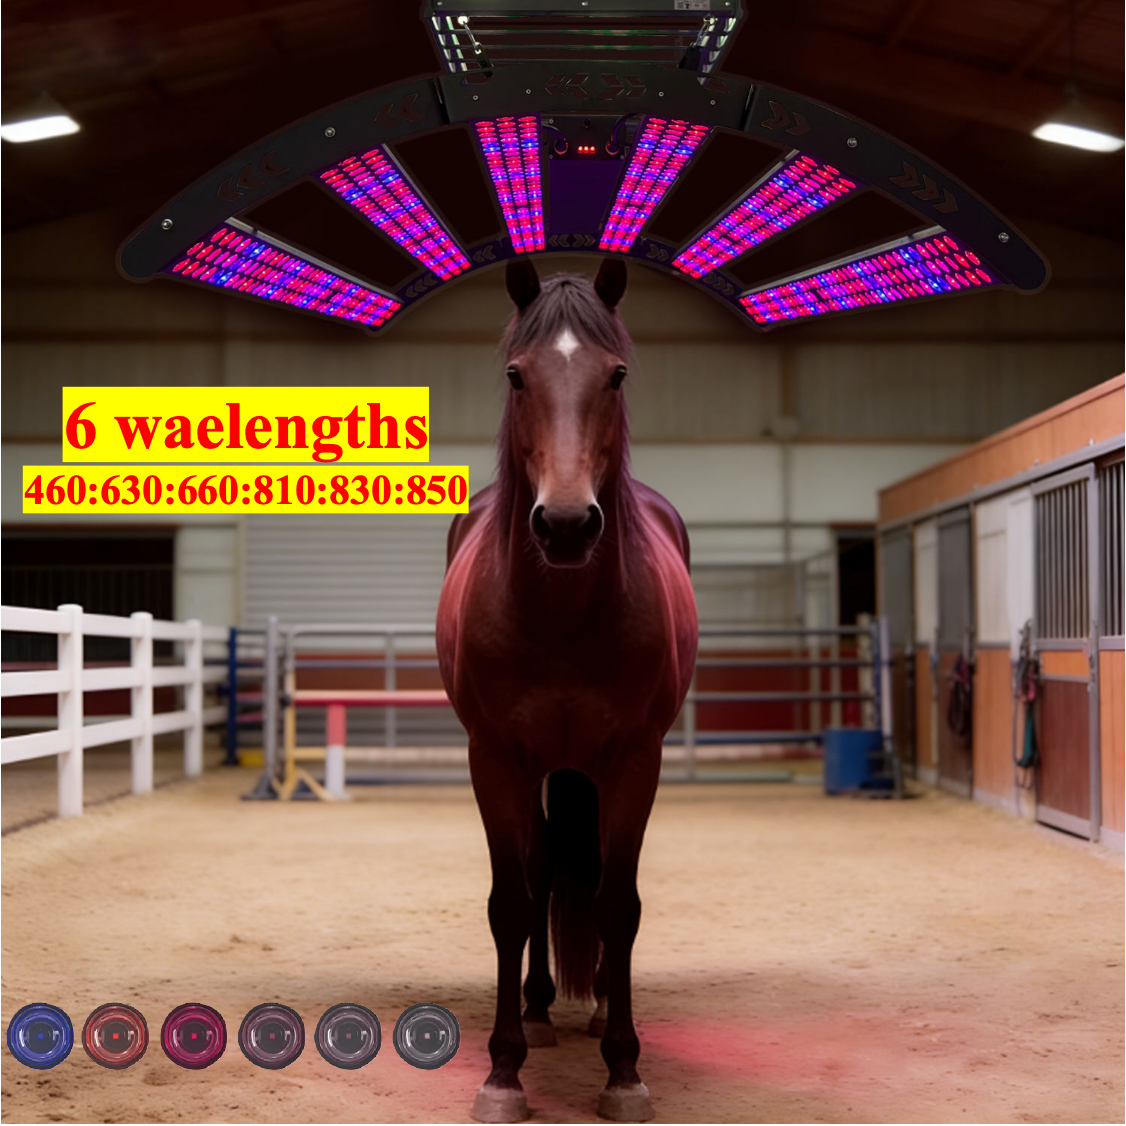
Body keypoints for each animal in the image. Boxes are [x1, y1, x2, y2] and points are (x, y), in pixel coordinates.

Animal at [436, 257, 698, 1123]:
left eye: (614, 375)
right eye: (518, 376)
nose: (566, 525)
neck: (561, 611)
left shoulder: (634, 761)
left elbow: (619, 905)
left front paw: (624, 1070)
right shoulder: (494, 760)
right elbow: (513, 902)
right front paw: (502, 1072)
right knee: (544, 868)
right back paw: (542, 1013)